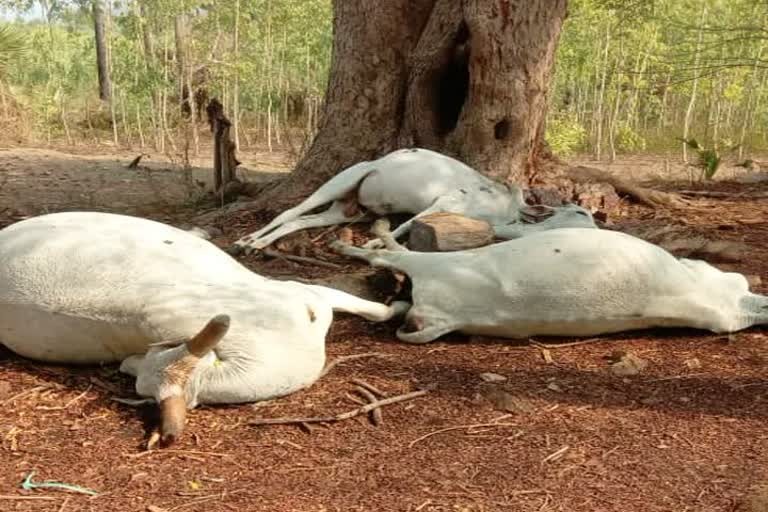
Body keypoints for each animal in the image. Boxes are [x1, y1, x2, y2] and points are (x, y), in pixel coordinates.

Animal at [231, 147, 596, 253]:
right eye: (580, 212)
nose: (598, 227)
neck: (504, 215)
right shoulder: (444, 202)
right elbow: (407, 224)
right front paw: (373, 245)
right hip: (340, 182)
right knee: (291, 210)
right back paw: (246, 240)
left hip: (348, 211)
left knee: (301, 220)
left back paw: (257, 245)